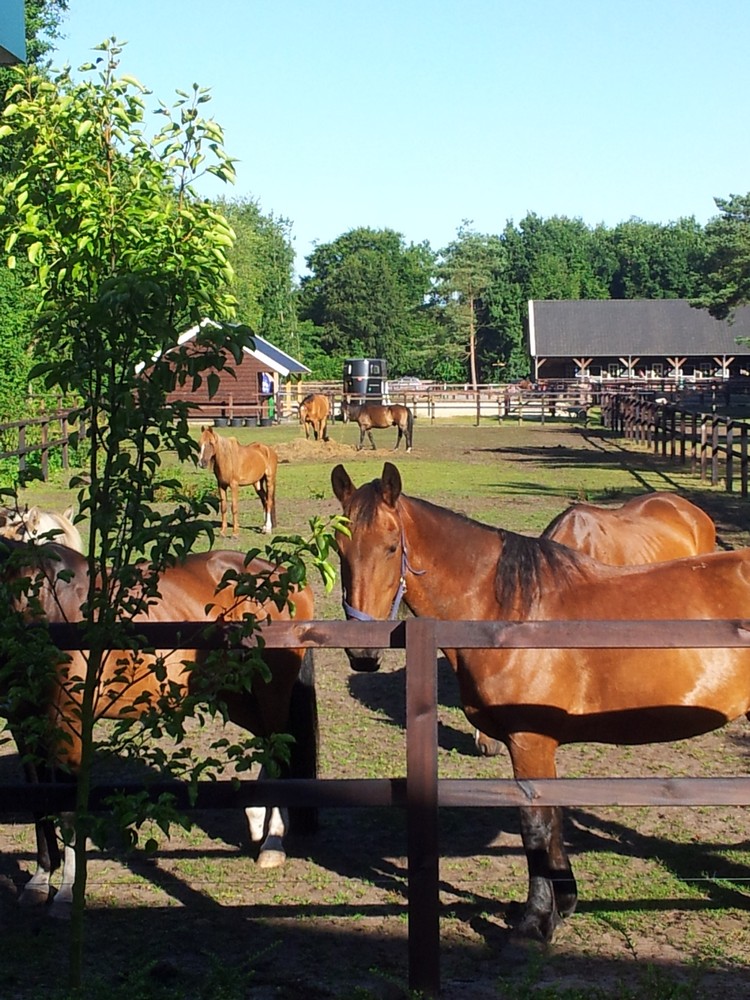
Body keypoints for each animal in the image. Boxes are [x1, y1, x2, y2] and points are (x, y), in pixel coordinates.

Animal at [0, 544, 318, 916]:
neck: (41, 600)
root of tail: (285, 575)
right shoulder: (24, 726)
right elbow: (40, 804)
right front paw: (38, 882)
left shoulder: (69, 725)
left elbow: (67, 809)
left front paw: (66, 895)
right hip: (235, 694)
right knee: (270, 744)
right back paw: (256, 819)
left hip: (270, 692)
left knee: (280, 748)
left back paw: (273, 843)